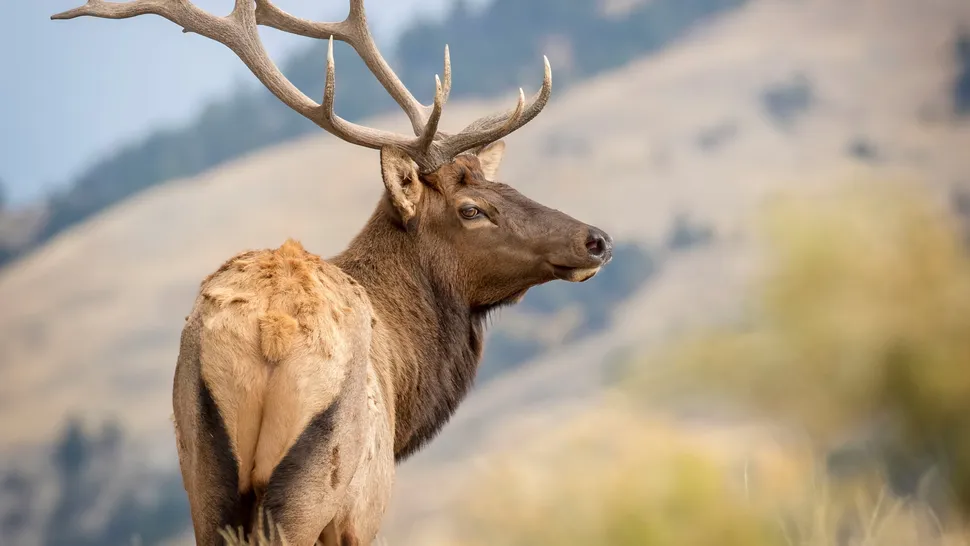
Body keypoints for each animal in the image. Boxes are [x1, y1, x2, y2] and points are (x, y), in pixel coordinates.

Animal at [53, 2, 612, 540]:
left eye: (504, 185)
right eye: (471, 208)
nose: (597, 240)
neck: (406, 378)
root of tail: (271, 331)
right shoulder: (365, 509)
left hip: (203, 472)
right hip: (318, 476)